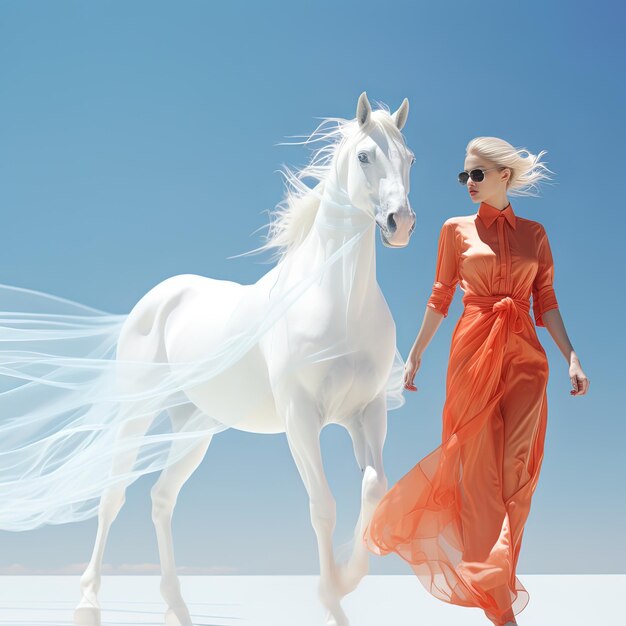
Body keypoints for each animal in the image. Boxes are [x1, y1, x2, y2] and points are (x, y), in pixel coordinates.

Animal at [73, 92, 414, 624]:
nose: (401, 225)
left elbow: (375, 493)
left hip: (194, 428)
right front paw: (330, 596)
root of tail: (156, 297)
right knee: (114, 494)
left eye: (410, 158)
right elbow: (323, 505)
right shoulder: (301, 419)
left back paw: (177, 606)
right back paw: (88, 599)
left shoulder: (368, 413)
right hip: (137, 413)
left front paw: (347, 578)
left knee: (161, 498)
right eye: (364, 156)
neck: (336, 301)